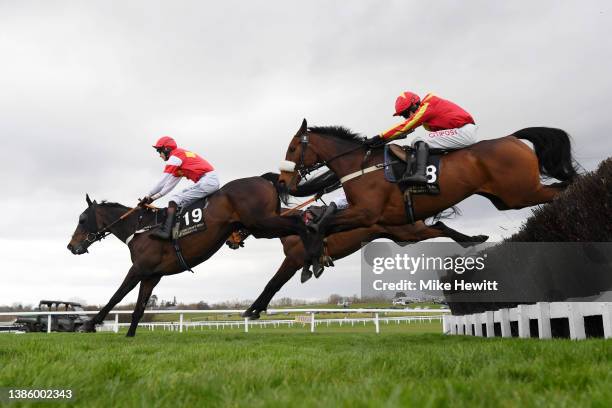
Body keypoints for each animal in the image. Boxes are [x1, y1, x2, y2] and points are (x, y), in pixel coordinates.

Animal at [274, 118, 580, 270]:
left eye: (292, 148)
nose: (284, 181)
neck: (358, 166)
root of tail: (511, 138)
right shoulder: (377, 218)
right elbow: (322, 224)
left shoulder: (366, 213)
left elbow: (320, 225)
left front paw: (315, 258)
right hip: (508, 199)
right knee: (563, 186)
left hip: (522, 193)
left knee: (564, 188)